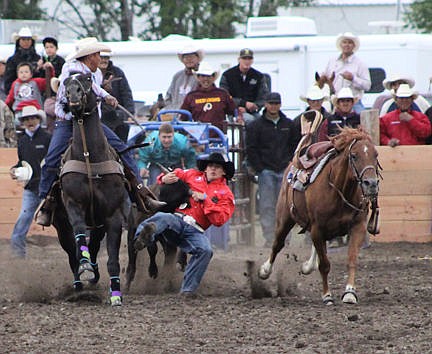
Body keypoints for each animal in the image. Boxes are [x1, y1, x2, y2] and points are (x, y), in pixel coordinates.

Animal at [52, 72, 128, 304]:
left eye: (87, 79)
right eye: (66, 82)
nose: (73, 95)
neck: (89, 157)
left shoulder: (113, 215)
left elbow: (112, 259)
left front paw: (116, 294)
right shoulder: (73, 204)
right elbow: (79, 235)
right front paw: (84, 266)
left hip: (98, 223)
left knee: (94, 245)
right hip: (61, 225)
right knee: (71, 253)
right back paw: (79, 283)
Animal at [258, 129, 380, 306]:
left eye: (375, 155)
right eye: (354, 155)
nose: (371, 184)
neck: (339, 190)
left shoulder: (358, 226)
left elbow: (351, 259)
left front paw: (350, 293)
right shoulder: (317, 229)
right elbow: (324, 265)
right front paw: (327, 295)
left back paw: (308, 266)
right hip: (284, 218)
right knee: (277, 244)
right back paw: (265, 271)